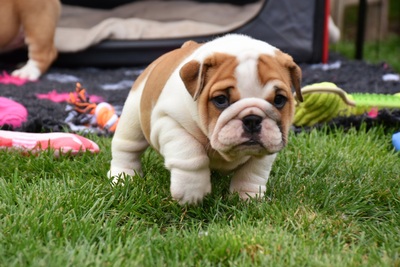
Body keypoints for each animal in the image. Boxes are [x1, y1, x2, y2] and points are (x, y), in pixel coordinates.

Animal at [108, 33, 302, 205]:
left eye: (279, 100)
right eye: (221, 100)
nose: (252, 119)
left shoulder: (268, 147)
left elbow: (253, 171)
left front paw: (248, 197)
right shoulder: (169, 122)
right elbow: (191, 155)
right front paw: (191, 192)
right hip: (132, 118)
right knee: (126, 149)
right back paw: (123, 178)